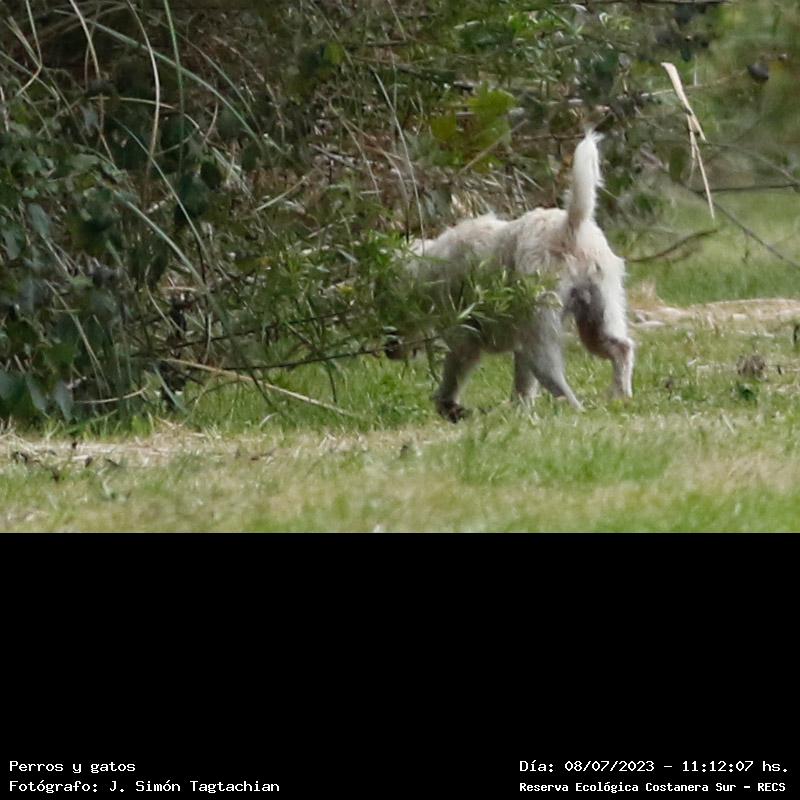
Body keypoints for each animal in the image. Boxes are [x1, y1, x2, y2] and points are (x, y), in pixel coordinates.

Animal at [386, 131, 635, 422]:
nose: (387, 351)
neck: (427, 268)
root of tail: (569, 228)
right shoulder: (517, 347)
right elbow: (523, 385)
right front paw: (519, 410)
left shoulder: (464, 341)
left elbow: (453, 377)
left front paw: (448, 406)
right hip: (597, 319)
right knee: (621, 349)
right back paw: (620, 397)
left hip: (541, 326)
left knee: (553, 377)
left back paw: (576, 409)